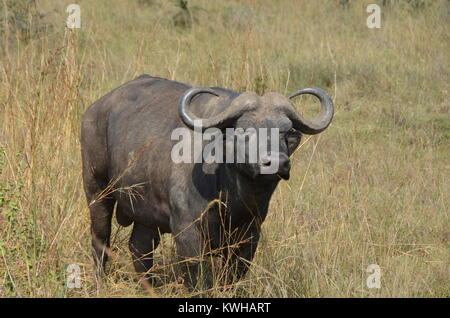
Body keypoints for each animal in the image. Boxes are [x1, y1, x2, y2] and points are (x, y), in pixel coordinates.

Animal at [81, 74, 334, 288]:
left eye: (285, 132)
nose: (277, 162)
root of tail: (95, 109)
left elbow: (234, 274)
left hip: (146, 214)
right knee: (101, 239)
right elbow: (198, 276)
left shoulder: (250, 232)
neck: (232, 197)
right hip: (97, 191)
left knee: (139, 248)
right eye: (245, 131)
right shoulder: (187, 230)